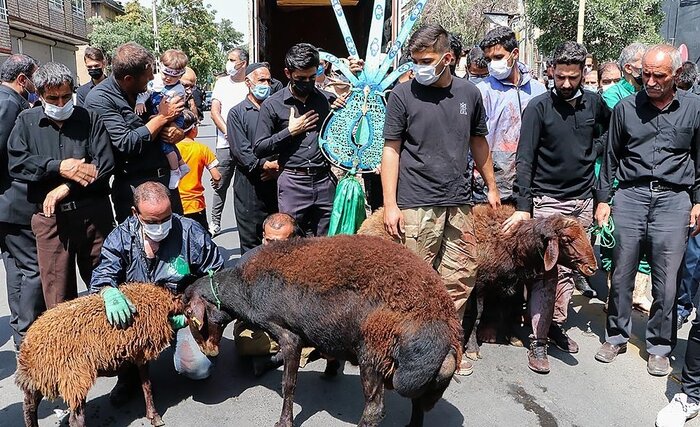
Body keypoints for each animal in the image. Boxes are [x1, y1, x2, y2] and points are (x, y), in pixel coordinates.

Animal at [15, 284, 183, 427]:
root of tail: (28, 349)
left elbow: (144, 383)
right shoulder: (142, 352)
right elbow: (146, 385)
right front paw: (154, 416)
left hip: (40, 379)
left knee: (29, 406)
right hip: (74, 376)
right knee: (75, 419)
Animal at [183, 236, 462, 427]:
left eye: (188, 314)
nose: (208, 352)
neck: (242, 288)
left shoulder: (287, 333)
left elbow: (288, 384)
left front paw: (284, 421)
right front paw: (328, 368)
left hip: (374, 353)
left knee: (375, 409)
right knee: (419, 402)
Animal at [360, 206, 596, 360]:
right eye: (567, 240)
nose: (593, 268)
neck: (512, 242)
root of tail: (371, 219)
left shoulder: (511, 284)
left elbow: (509, 309)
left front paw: (511, 336)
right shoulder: (479, 283)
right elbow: (477, 315)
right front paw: (472, 348)